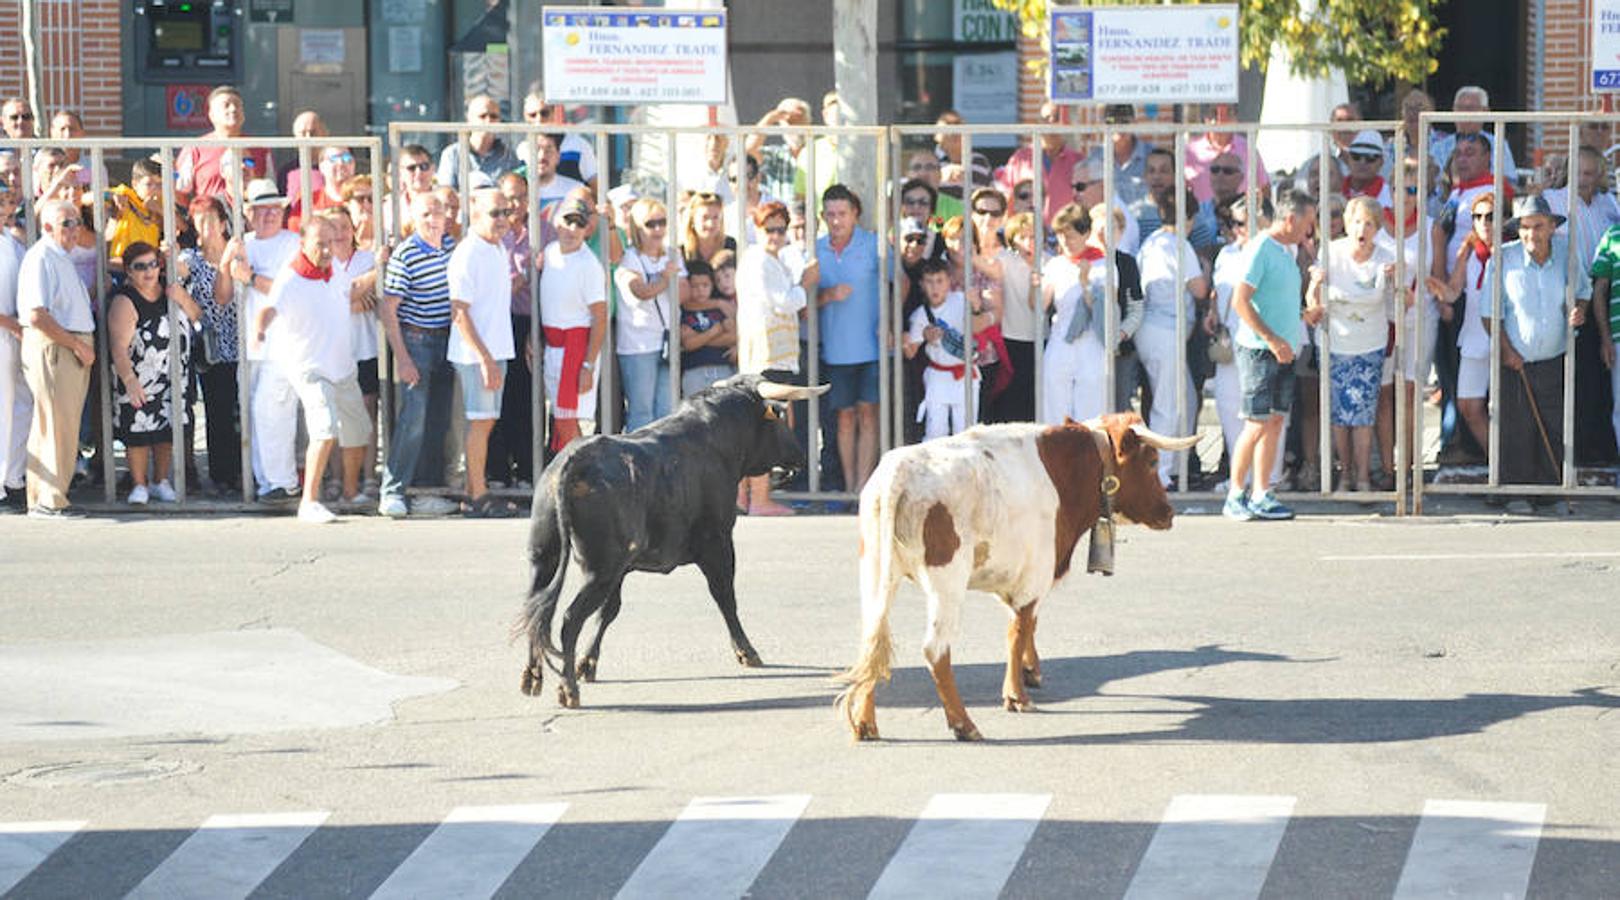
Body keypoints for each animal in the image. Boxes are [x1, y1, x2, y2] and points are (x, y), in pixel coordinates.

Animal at [515, 373, 829, 708]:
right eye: (779, 417)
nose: (800, 456)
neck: (714, 440)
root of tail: (574, 461)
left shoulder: (623, 567)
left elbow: (609, 611)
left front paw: (588, 664)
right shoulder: (718, 543)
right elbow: (725, 596)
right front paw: (747, 652)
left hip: (544, 557)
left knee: (534, 607)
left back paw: (532, 676)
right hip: (599, 570)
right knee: (569, 618)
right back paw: (568, 689)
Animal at [842, 411, 1198, 741]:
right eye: (1152, 462)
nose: (1168, 512)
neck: (1065, 470)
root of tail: (899, 471)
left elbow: (1026, 626)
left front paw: (1030, 671)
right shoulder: (1035, 574)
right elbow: (1019, 629)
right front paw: (1016, 695)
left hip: (875, 571)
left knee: (872, 641)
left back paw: (865, 722)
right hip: (947, 583)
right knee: (935, 649)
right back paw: (964, 724)